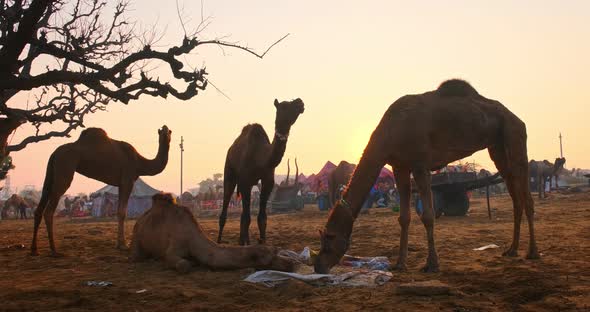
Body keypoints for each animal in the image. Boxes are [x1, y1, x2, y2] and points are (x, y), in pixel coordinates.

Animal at [31, 125, 171, 258]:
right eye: (163, 131)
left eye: (169, 131)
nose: (165, 132)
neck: (139, 162)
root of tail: (54, 153)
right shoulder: (128, 180)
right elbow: (122, 212)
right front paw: (123, 245)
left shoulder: (120, 184)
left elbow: (119, 211)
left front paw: (119, 244)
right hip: (64, 167)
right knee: (49, 210)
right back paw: (54, 251)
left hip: (51, 172)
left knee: (40, 207)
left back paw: (35, 250)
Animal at [129, 193, 296, 272]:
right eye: (271, 258)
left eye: (276, 251)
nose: (291, 263)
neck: (193, 238)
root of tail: (141, 218)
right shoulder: (175, 245)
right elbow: (183, 264)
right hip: (136, 235)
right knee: (137, 255)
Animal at [217, 98, 306, 245]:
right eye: (284, 106)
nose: (300, 102)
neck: (260, 156)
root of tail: (231, 149)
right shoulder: (245, 181)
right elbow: (247, 218)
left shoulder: (268, 181)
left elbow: (262, 218)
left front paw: (262, 242)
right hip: (229, 172)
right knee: (226, 206)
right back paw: (220, 241)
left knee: (243, 215)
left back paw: (243, 240)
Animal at [314, 79, 540, 274]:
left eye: (329, 242)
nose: (318, 266)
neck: (390, 132)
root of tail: (517, 118)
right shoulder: (400, 166)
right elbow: (404, 217)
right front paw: (400, 263)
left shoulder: (420, 164)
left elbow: (428, 215)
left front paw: (432, 264)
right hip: (497, 146)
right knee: (515, 195)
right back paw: (512, 249)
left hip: (515, 135)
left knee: (526, 194)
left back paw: (533, 252)